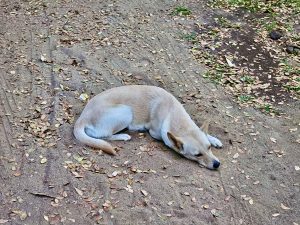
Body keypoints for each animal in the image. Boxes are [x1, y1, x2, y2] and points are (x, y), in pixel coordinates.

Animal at [73, 85, 223, 170]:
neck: (172, 112)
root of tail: (82, 117)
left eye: (209, 147)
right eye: (197, 155)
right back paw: (124, 135)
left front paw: (215, 140)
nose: (217, 164)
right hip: (126, 111)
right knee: (104, 136)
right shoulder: (156, 133)